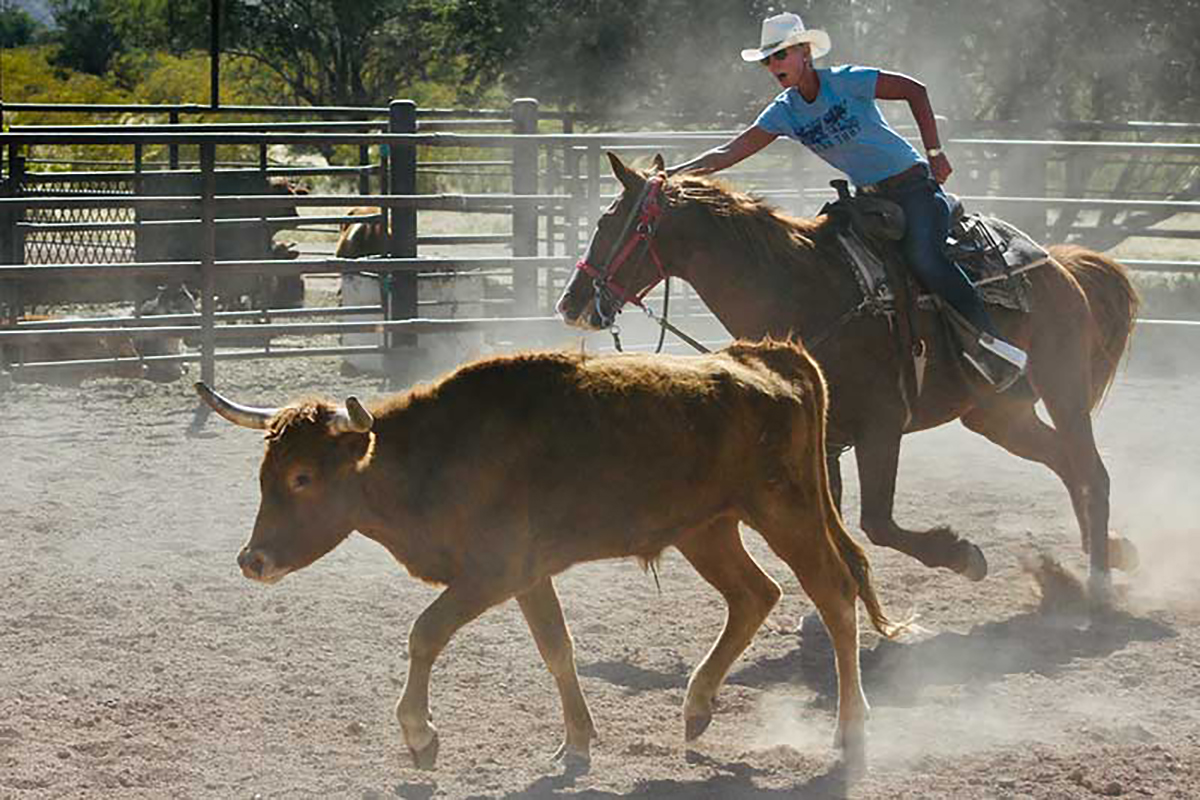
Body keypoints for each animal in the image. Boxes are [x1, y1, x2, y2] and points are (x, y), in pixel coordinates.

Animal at [194, 340, 902, 777]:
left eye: (304, 478)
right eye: (266, 473)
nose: (252, 560)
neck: (436, 455)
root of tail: (767, 357)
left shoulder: (493, 572)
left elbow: (425, 633)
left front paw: (421, 734)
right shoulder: (529, 576)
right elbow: (556, 649)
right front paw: (576, 741)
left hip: (786, 510)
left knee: (834, 594)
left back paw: (849, 727)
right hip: (708, 529)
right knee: (755, 596)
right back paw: (698, 705)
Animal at [556, 151, 1137, 599]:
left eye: (610, 223)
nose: (571, 302)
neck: (806, 292)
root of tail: (1059, 264)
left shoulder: (881, 427)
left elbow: (876, 523)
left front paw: (962, 555)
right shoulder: (827, 439)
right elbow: (830, 527)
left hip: (1064, 389)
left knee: (1094, 472)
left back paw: (1099, 582)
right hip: (997, 414)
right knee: (1066, 463)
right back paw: (1104, 555)